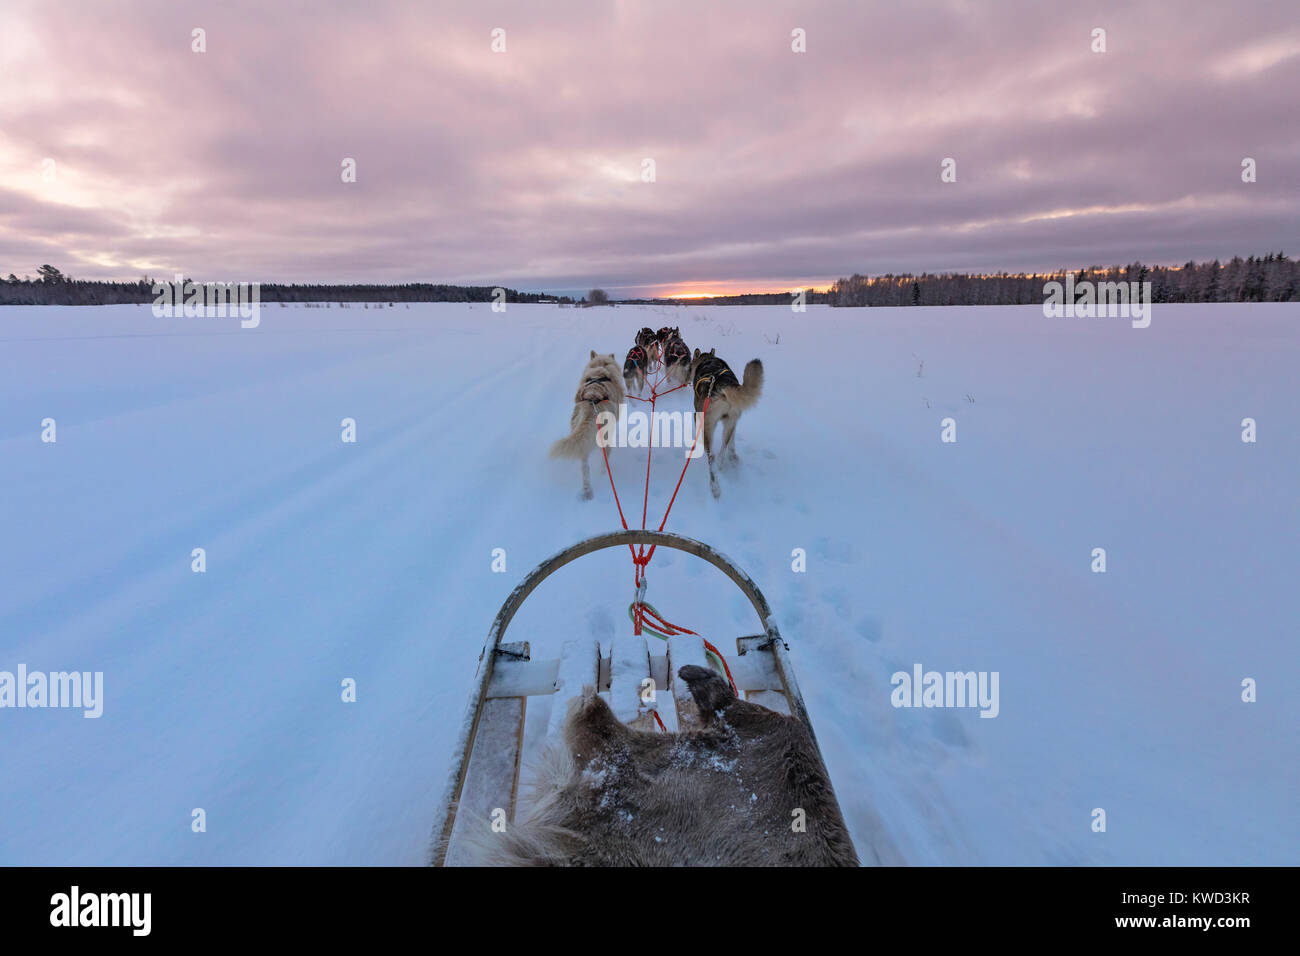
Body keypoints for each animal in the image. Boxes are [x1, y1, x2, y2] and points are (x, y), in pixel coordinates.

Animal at [548, 351, 624, 502]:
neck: (601, 366)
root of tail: (591, 402)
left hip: (581, 441)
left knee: (585, 467)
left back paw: (587, 491)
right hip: (605, 439)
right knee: (604, 460)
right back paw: (604, 475)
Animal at [691, 351, 759, 502]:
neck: (708, 360)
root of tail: (723, 387)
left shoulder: (697, 415)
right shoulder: (734, 421)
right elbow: (732, 439)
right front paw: (733, 454)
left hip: (708, 426)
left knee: (711, 457)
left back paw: (715, 487)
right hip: (730, 420)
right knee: (723, 446)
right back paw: (722, 463)